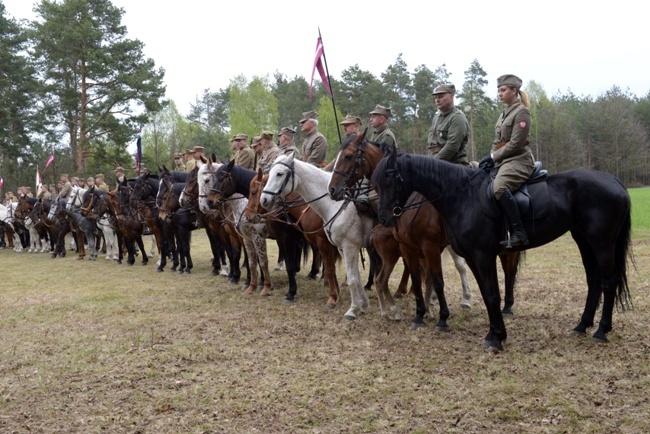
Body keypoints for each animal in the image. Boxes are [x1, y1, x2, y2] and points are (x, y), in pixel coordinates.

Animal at [260, 154, 378, 320]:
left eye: (279, 173)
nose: (264, 200)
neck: (336, 204)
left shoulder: (346, 246)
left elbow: (348, 277)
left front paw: (350, 308)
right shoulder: (342, 248)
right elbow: (353, 275)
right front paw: (363, 305)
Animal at [372, 147, 632, 350]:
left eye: (388, 180)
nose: (384, 218)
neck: (463, 196)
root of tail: (613, 180)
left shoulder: (481, 255)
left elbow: (491, 294)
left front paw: (497, 338)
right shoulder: (471, 257)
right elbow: (486, 294)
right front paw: (493, 334)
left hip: (602, 243)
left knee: (608, 282)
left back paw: (601, 331)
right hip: (584, 241)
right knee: (594, 282)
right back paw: (582, 326)